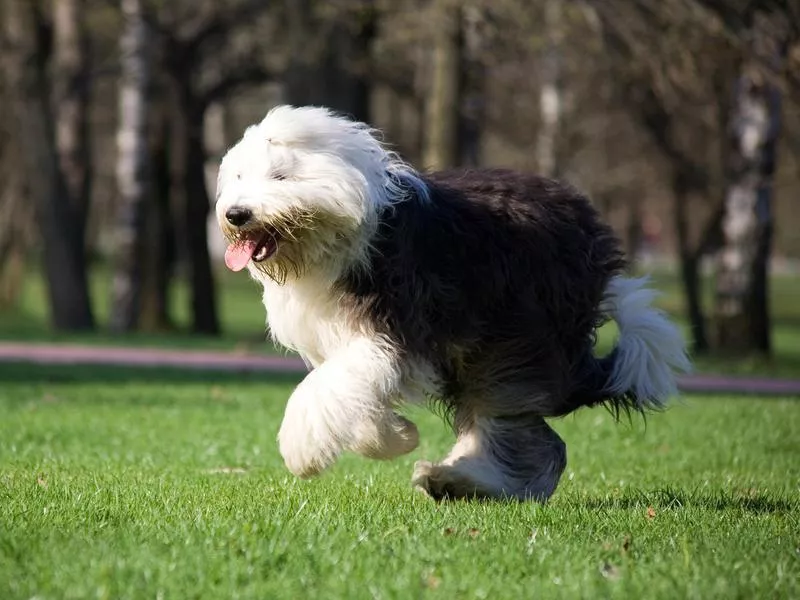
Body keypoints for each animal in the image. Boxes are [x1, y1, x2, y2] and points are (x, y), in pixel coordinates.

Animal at [216, 106, 692, 502]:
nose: (236, 214)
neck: (346, 235)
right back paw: (456, 481)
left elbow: (325, 389)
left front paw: (303, 452)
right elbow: (348, 392)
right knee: (532, 439)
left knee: (521, 431)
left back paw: (458, 480)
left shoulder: (391, 332)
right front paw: (396, 436)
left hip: (517, 337)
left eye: (280, 177)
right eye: (238, 178)